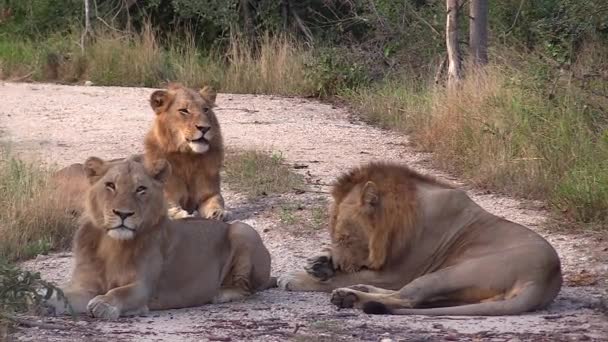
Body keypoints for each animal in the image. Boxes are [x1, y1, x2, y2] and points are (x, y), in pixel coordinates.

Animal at [48, 156, 272, 320]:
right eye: (110, 185)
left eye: (141, 189)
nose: (123, 214)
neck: (111, 244)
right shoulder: (85, 286)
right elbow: (64, 294)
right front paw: (44, 301)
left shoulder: (143, 287)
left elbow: (120, 292)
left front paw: (103, 304)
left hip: (243, 229)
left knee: (246, 288)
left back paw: (219, 293)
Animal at [52, 84, 226, 220]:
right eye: (184, 111)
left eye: (206, 109)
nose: (205, 128)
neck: (188, 158)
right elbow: (169, 206)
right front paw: (180, 213)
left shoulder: (210, 193)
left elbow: (216, 201)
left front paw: (218, 213)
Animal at [278, 162, 564, 316]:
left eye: (345, 238)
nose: (335, 264)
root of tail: (545, 279)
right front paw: (319, 263)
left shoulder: (397, 272)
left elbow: (346, 276)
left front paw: (297, 277)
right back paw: (359, 291)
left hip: (450, 274)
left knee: (407, 297)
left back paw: (350, 297)